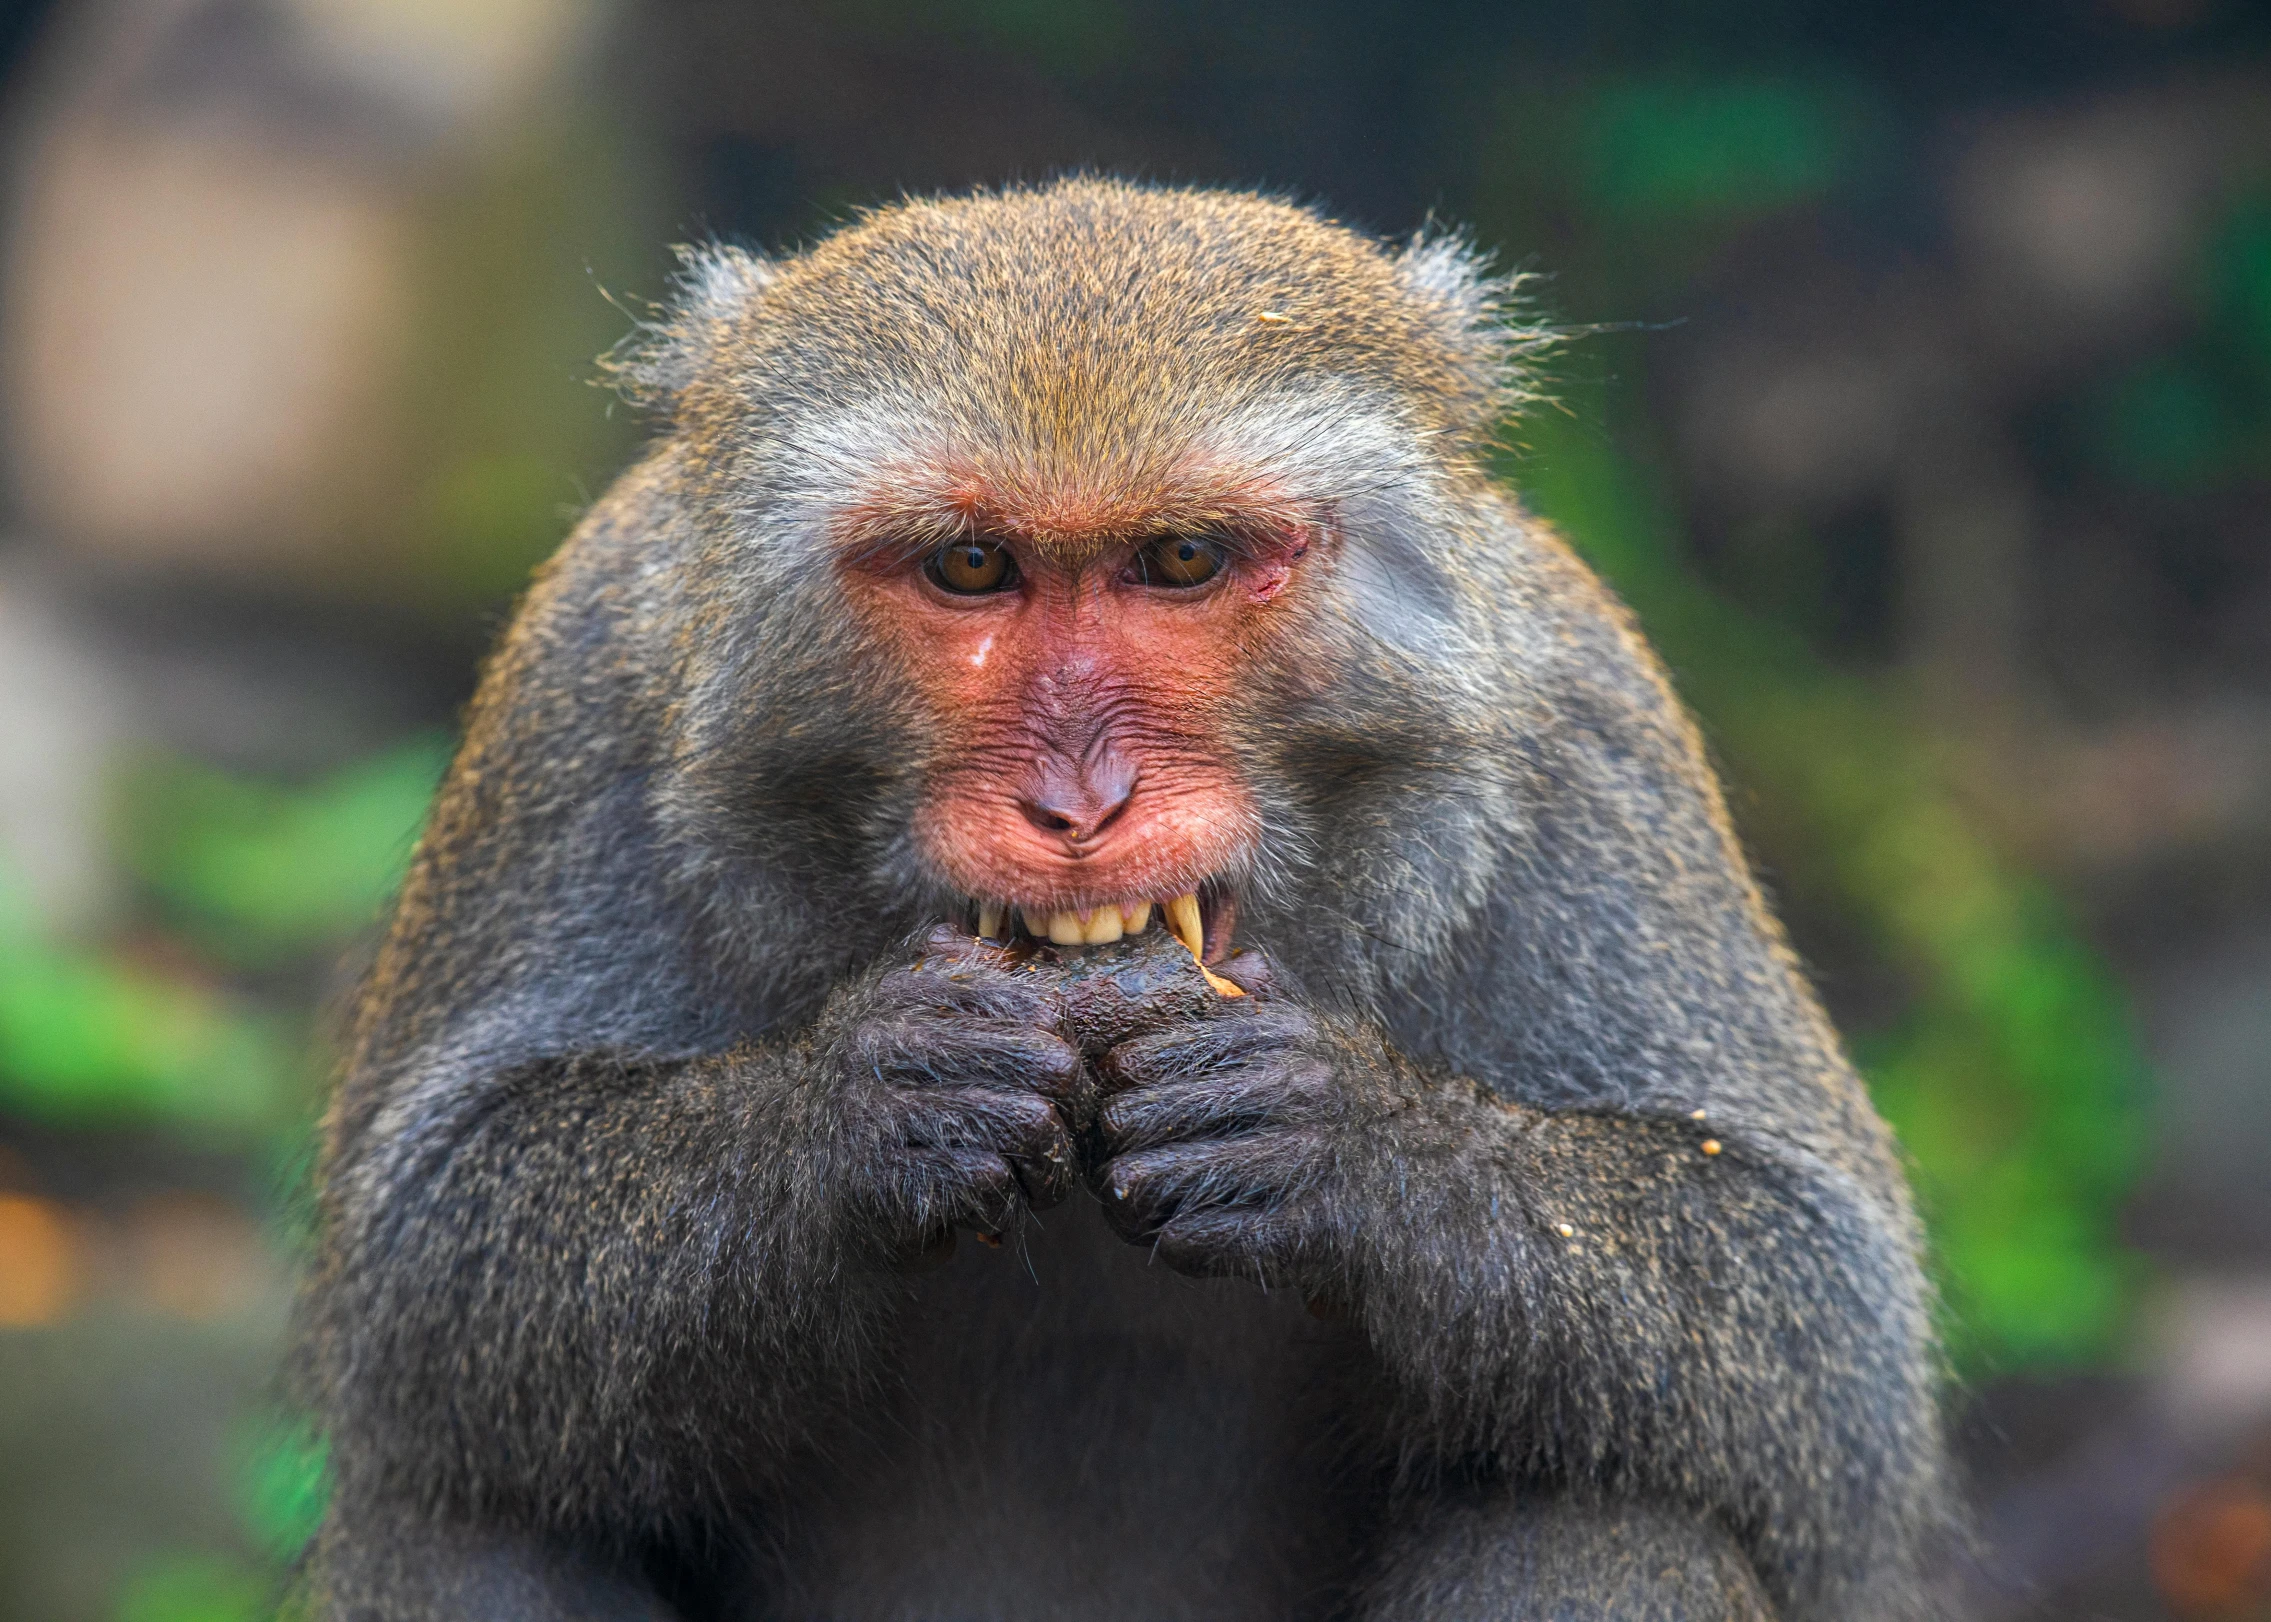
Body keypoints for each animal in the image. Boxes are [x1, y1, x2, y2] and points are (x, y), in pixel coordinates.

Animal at [302, 180, 1953, 1617]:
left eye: (1180, 556)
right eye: (972, 564)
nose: (1081, 804)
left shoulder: (1579, 725)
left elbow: (1818, 1329)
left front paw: (1349, 1140)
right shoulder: (582, 685)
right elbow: (426, 1270)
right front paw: (869, 1104)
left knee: (1599, 1511)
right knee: (464, 1531)